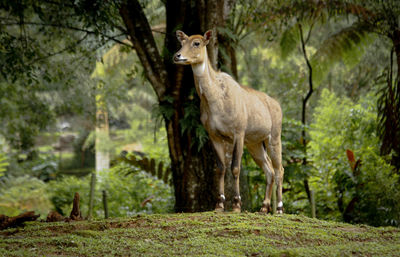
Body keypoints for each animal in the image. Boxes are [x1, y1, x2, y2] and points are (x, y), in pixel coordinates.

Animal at [173, 29, 282, 212]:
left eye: (197, 43)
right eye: (182, 42)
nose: (177, 56)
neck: (215, 99)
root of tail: (278, 105)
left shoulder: (238, 132)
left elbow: (235, 167)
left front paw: (237, 204)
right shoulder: (214, 135)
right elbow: (221, 168)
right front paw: (219, 204)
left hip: (273, 138)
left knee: (279, 169)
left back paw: (279, 208)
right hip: (255, 143)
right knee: (269, 170)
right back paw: (264, 208)